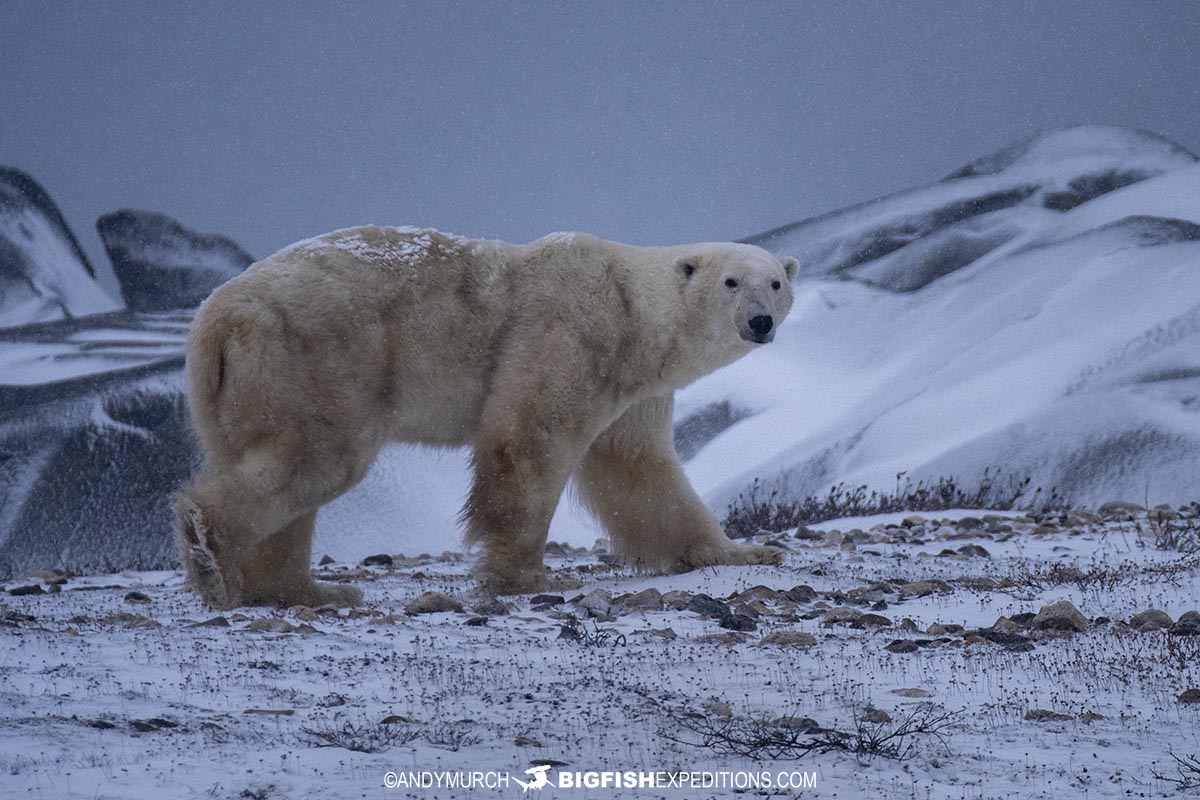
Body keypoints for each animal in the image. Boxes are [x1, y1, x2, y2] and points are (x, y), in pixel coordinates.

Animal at [175, 227, 796, 609]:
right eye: (731, 282)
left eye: (776, 281)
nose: (761, 321)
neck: (632, 310)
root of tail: (215, 315)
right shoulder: (568, 331)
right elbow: (529, 439)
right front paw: (523, 574)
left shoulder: (633, 389)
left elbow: (640, 471)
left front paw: (744, 550)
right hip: (318, 355)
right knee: (318, 458)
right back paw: (212, 555)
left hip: (247, 385)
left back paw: (308, 591)